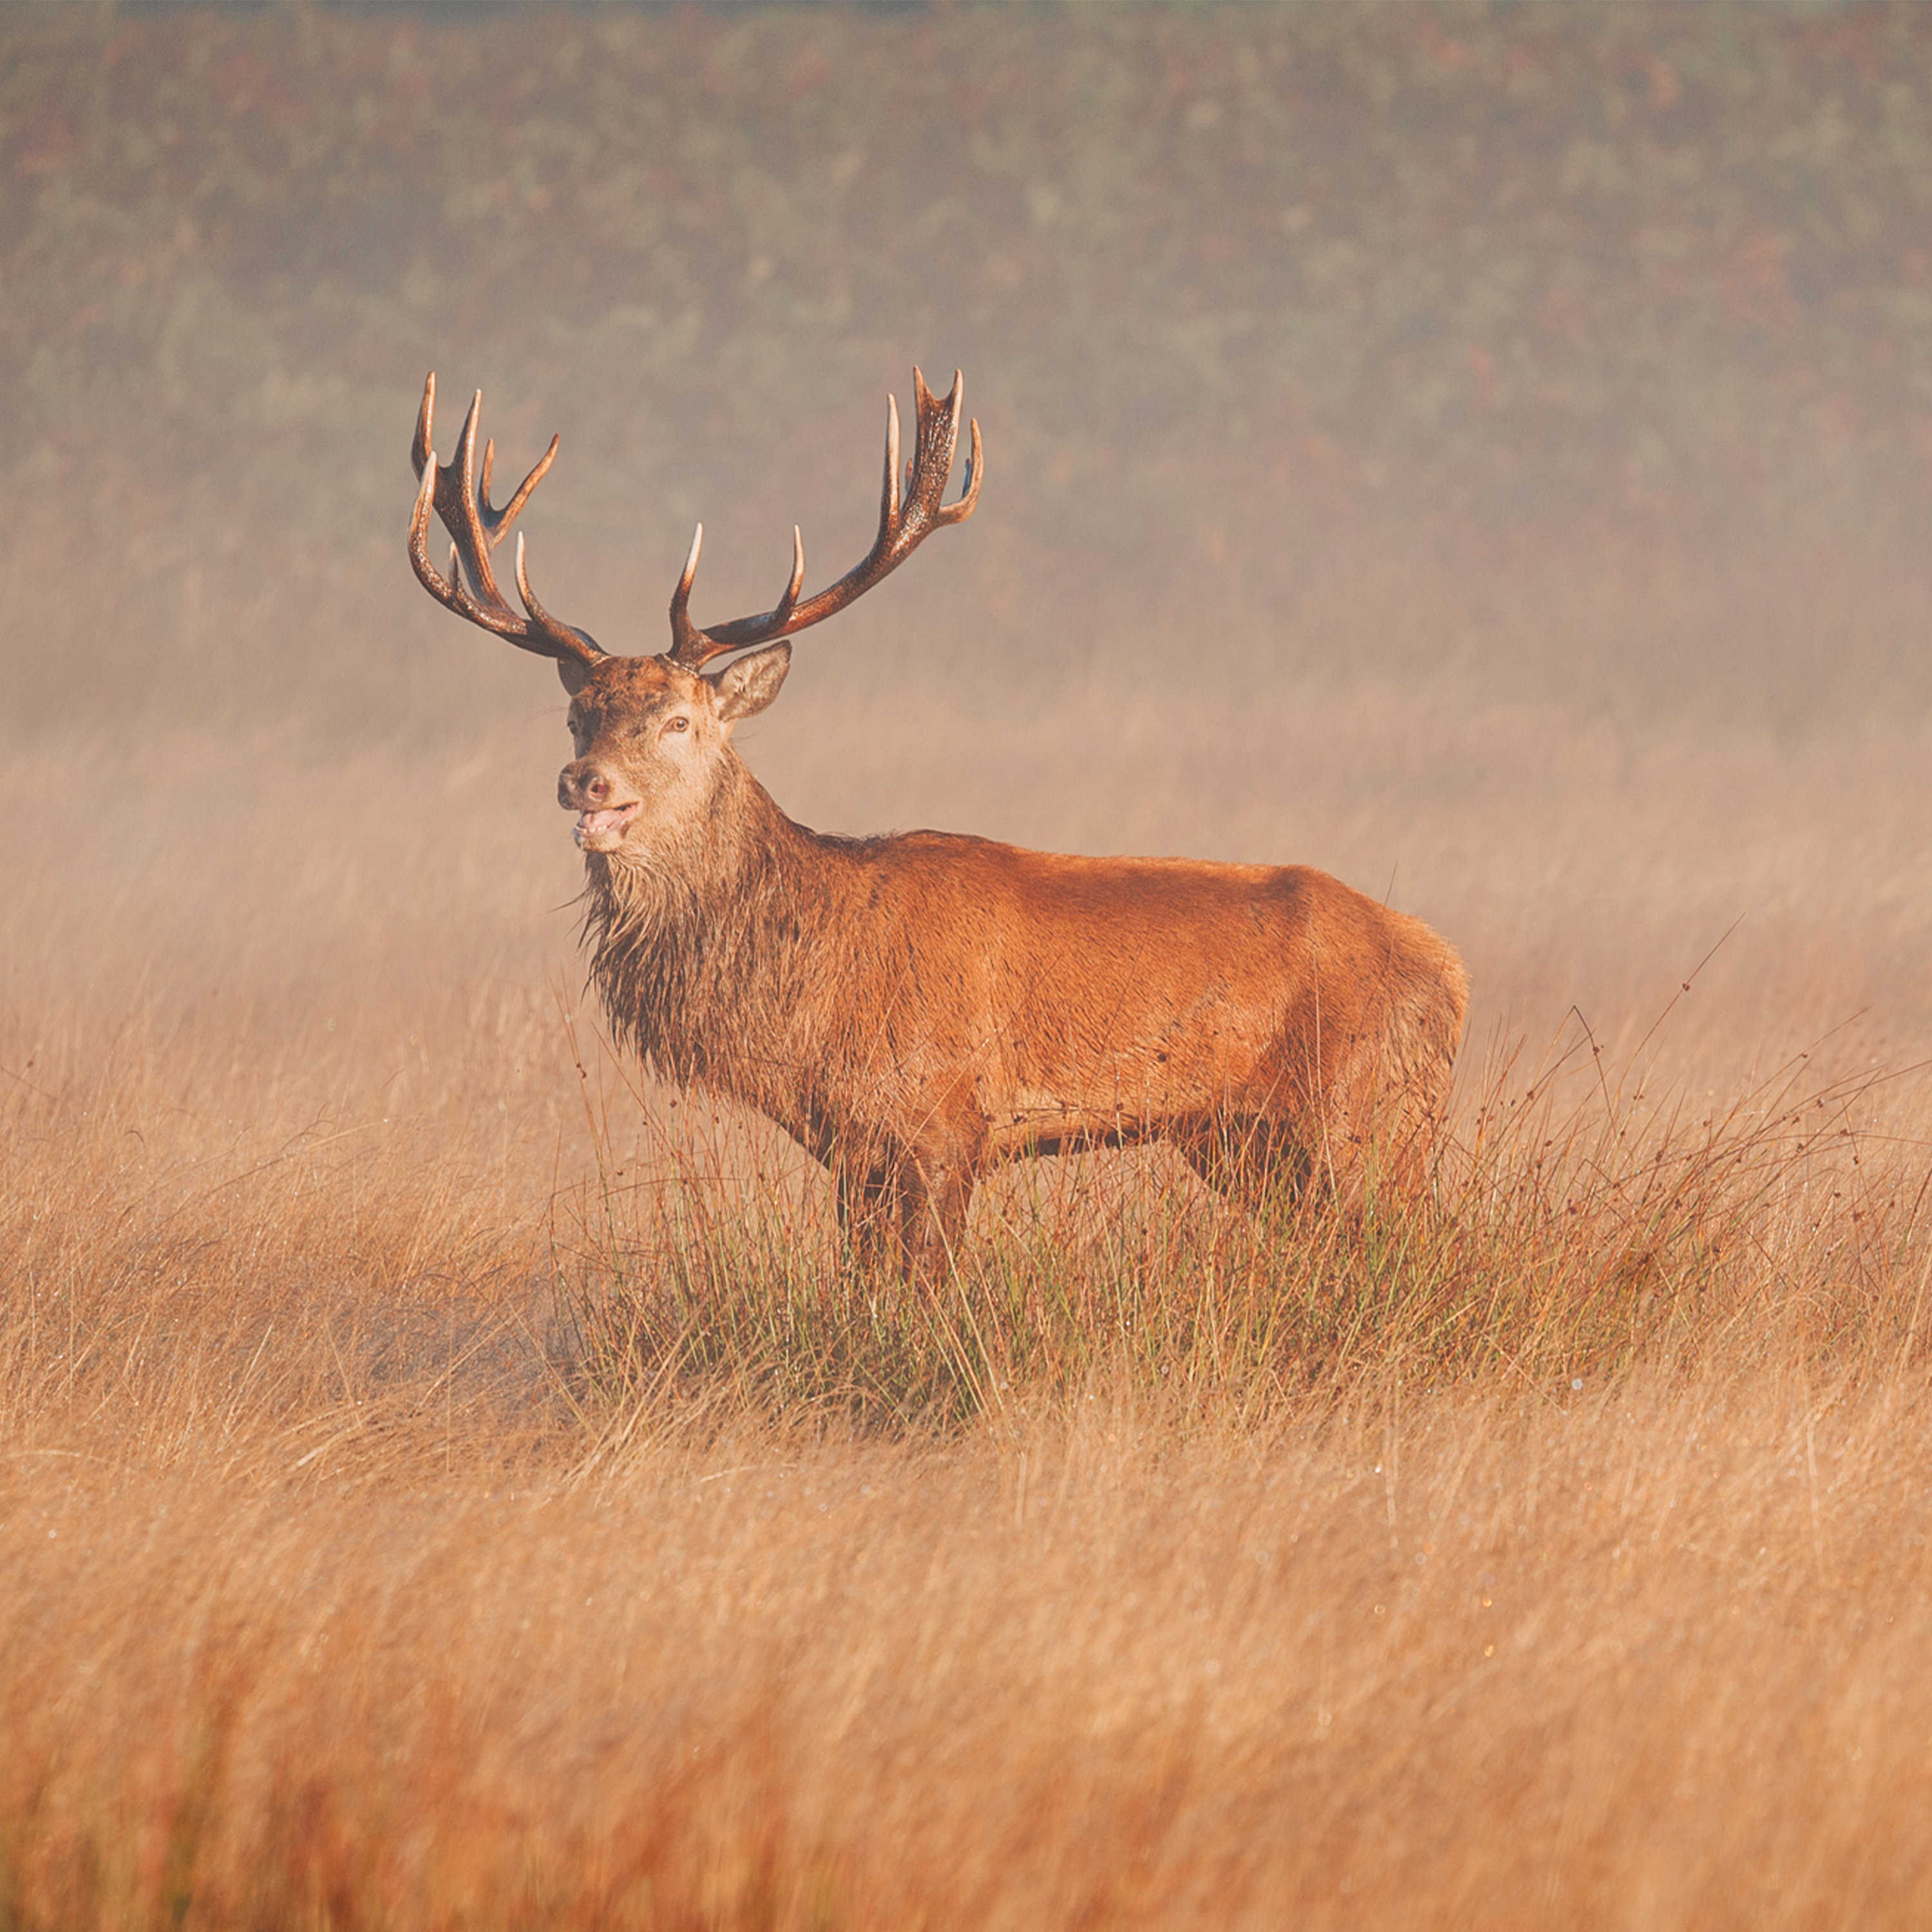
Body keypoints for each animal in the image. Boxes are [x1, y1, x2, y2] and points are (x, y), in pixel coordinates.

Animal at [408, 368, 1468, 1278]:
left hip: (1368, 1114)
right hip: (1243, 1139)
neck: (812, 996)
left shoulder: (941, 1121)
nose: (585, 784)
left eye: (680, 721)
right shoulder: (855, 1148)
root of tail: (1450, 970)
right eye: (579, 714)